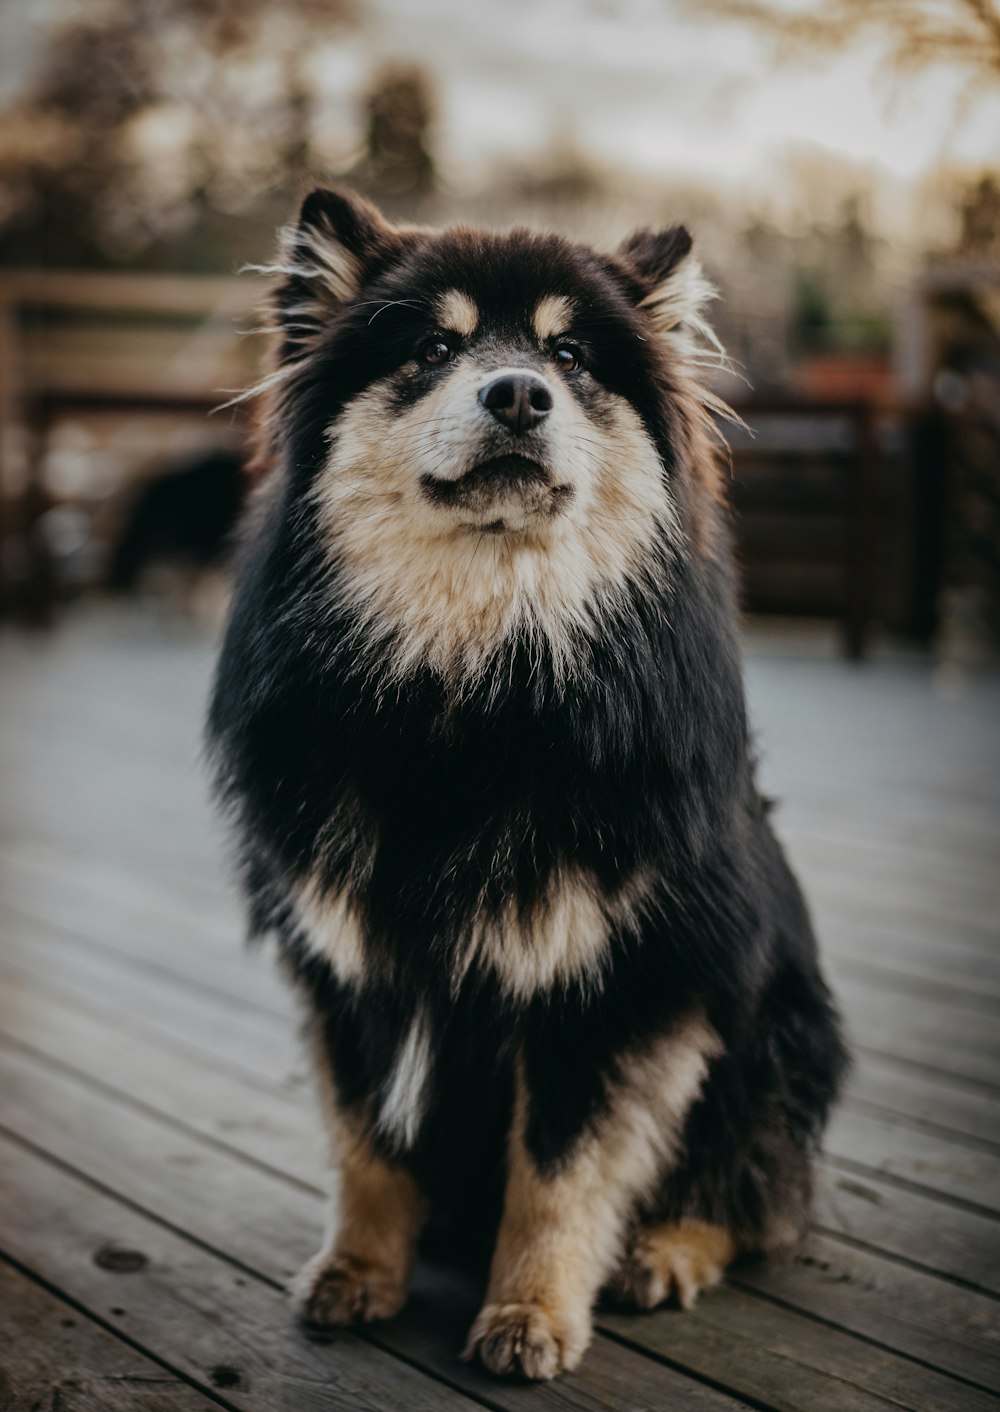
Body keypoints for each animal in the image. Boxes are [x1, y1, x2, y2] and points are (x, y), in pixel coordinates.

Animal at [207, 187, 847, 1378]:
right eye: (431, 347)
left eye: (567, 353)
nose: (515, 392)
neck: (474, 668)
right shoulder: (352, 962)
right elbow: (368, 1145)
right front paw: (358, 1272)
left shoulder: (611, 984)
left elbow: (559, 1175)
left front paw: (532, 1312)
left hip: (775, 1035)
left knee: (755, 1189)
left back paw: (666, 1252)